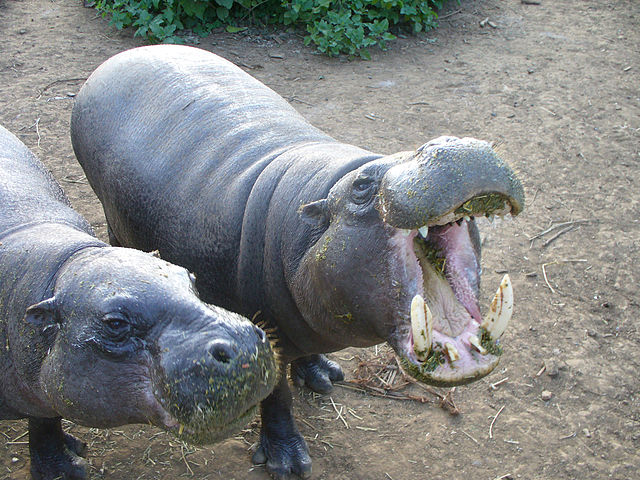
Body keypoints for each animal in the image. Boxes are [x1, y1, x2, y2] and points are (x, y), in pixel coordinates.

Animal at [0, 124, 278, 479]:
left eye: (190, 278)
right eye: (114, 323)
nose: (244, 344)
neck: (62, 269)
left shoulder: (38, 383)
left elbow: (44, 421)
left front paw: (66, 468)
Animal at [71, 45, 524, 479]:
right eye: (362, 187)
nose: (446, 143)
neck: (318, 201)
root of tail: (117, 60)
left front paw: (323, 376)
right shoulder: (262, 334)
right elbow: (277, 397)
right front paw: (286, 463)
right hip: (113, 218)